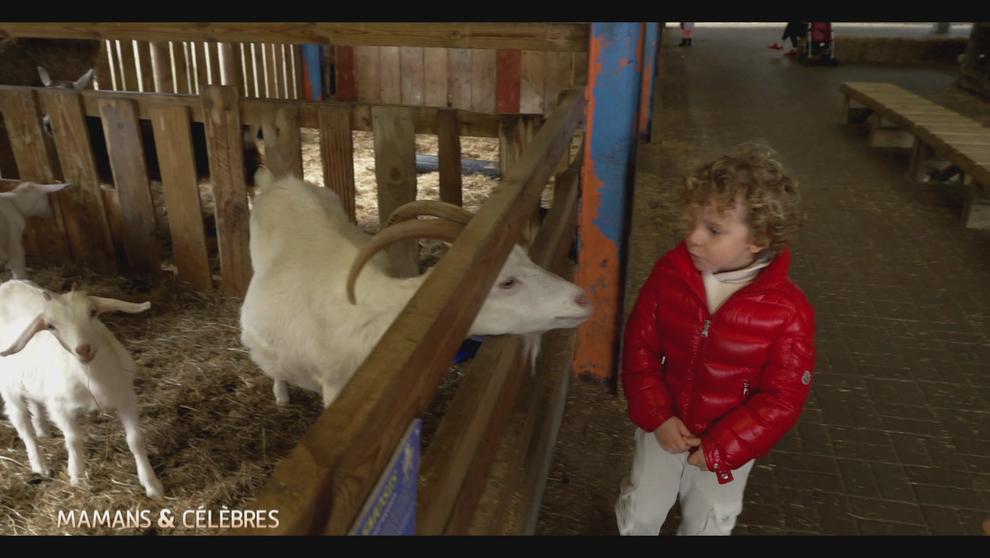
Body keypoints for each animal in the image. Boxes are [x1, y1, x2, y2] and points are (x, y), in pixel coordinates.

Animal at [0, 282, 165, 500]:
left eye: (93, 312)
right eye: (50, 326)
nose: (83, 349)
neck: (93, 379)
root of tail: (7, 285)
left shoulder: (127, 397)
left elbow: (135, 440)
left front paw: (152, 484)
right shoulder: (60, 408)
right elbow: (74, 440)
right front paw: (77, 478)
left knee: (34, 404)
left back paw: (43, 430)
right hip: (9, 389)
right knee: (23, 426)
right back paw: (40, 465)